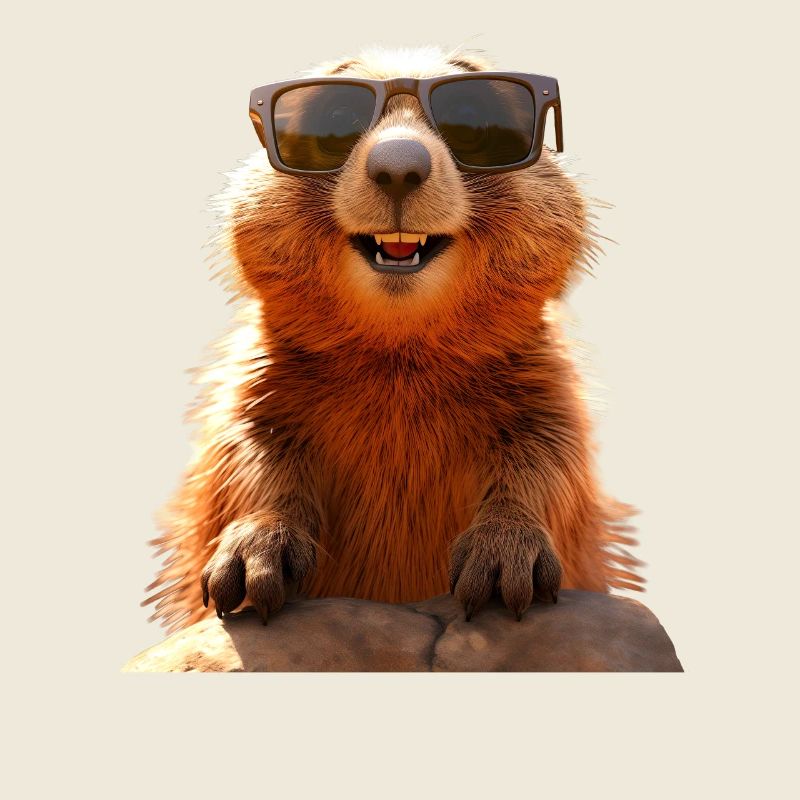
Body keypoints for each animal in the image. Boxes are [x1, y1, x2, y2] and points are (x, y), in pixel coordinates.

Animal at [144, 46, 642, 633]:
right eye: (334, 118)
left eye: (474, 119)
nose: (399, 165)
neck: (398, 356)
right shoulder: (251, 377)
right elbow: (245, 456)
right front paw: (252, 554)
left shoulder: (546, 381)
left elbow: (551, 460)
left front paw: (503, 557)